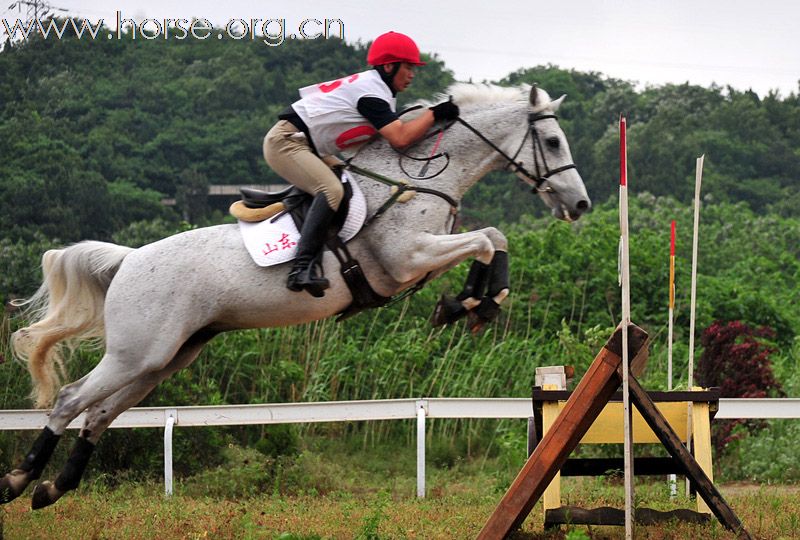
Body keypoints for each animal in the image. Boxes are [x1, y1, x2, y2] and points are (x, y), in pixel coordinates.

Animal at [0, 83, 588, 506]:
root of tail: (129, 260)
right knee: (72, 399)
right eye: (553, 142)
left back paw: (53, 488)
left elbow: (493, 238)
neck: (418, 175)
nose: (580, 205)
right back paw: (19, 480)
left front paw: (472, 302)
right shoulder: (406, 258)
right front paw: (471, 302)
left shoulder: (423, 254)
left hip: (165, 357)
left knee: (100, 414)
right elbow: (487, 240)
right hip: (136, 352)